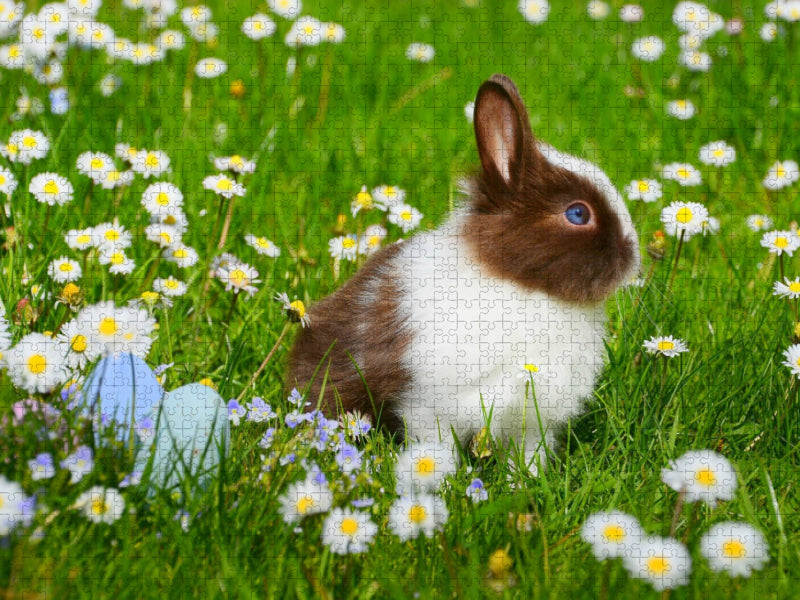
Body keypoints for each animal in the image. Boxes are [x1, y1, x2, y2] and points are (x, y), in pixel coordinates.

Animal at [287, 73, 640, 474]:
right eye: (578, 214)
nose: (634, 255)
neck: (520, 285)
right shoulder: (427, 403)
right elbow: (436, 446)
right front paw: (436, 477)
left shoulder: (533, 420)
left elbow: (529, 453)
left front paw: (527, 480)